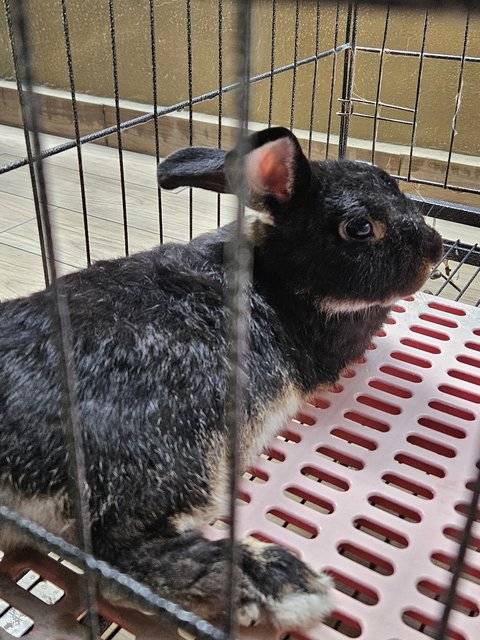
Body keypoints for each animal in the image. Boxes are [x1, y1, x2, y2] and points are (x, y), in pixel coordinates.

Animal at [0, 125, 442, 632]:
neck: (271, 274)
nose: (436, 248)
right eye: (360, 228)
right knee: (118, 557)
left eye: (385, 178)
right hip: (162, 455)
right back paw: (279, 581)